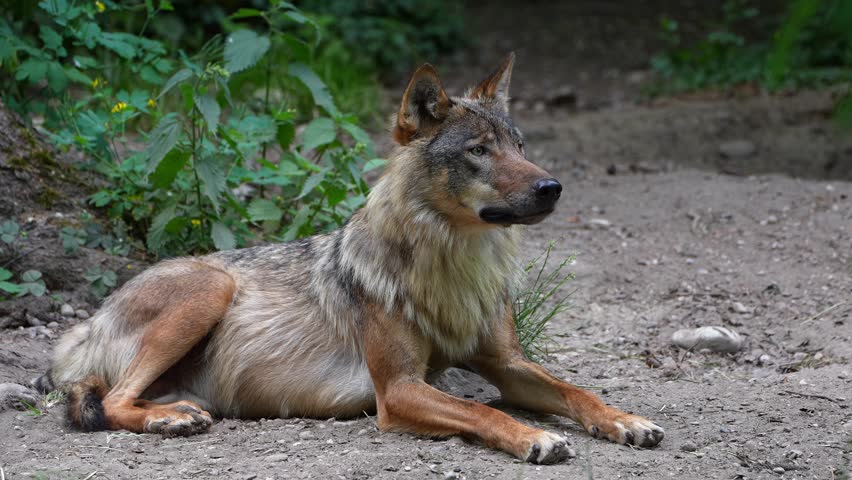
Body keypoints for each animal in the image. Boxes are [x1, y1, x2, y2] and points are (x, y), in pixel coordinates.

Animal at [36, 53, 663, 464]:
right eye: (479, 152)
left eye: (520, 147)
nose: (552, 188)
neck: (455, 266)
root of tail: (83, 326)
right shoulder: (398, 389)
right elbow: (485, 412)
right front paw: (534, 436)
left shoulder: (507, 364)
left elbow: (577, 392)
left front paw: (625, 419)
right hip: (209, 288)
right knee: (113, 400)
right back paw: (170, 419)